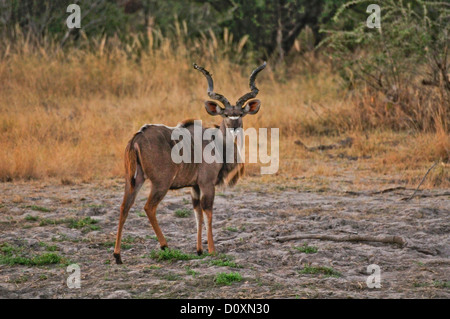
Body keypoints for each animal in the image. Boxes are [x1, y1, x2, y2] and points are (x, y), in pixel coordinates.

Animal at [114, 61, 266, 264]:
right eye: (225, 114)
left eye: (241, 113)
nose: (234, 126)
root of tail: (136, 138)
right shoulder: (207, 184)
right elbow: (208, 211)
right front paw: (212, 250)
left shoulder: (195, 186)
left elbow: (197, 213)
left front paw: (199, 250)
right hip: (161, 183)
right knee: (149, 207)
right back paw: (164, 246)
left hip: (134, 180)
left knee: (124, 206)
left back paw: (117, 255)